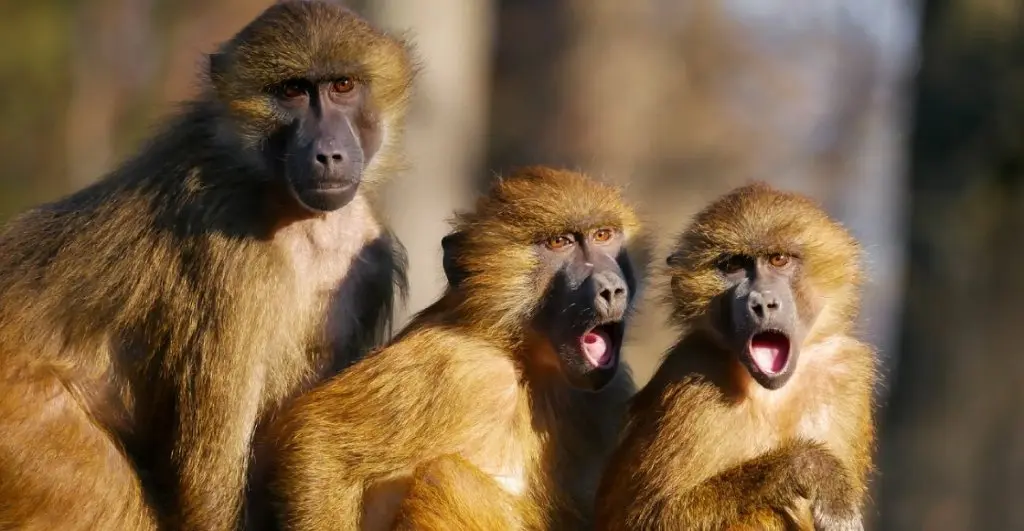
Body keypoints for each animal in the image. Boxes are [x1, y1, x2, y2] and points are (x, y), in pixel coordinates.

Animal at [0, 2, 415, 530]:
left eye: (343, 85)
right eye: (292, 91)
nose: (328, 154)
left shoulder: (369, 263)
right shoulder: (231, 256)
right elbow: (209, 482)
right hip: (27, 428)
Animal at [261, 166, 642, 531]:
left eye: (603, 236)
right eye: (559, 242)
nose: (611, 289)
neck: (525, 361)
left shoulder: (609, 391)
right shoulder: (462, 366)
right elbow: (318, 440)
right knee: (447, 477)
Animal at [594, 182, 875, 531]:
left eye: (779, 259)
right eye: (733, 266)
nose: (761, 303)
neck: (773, 393)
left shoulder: (843, 371)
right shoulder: (693, 379)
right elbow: (648, 518)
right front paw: (811, 467)